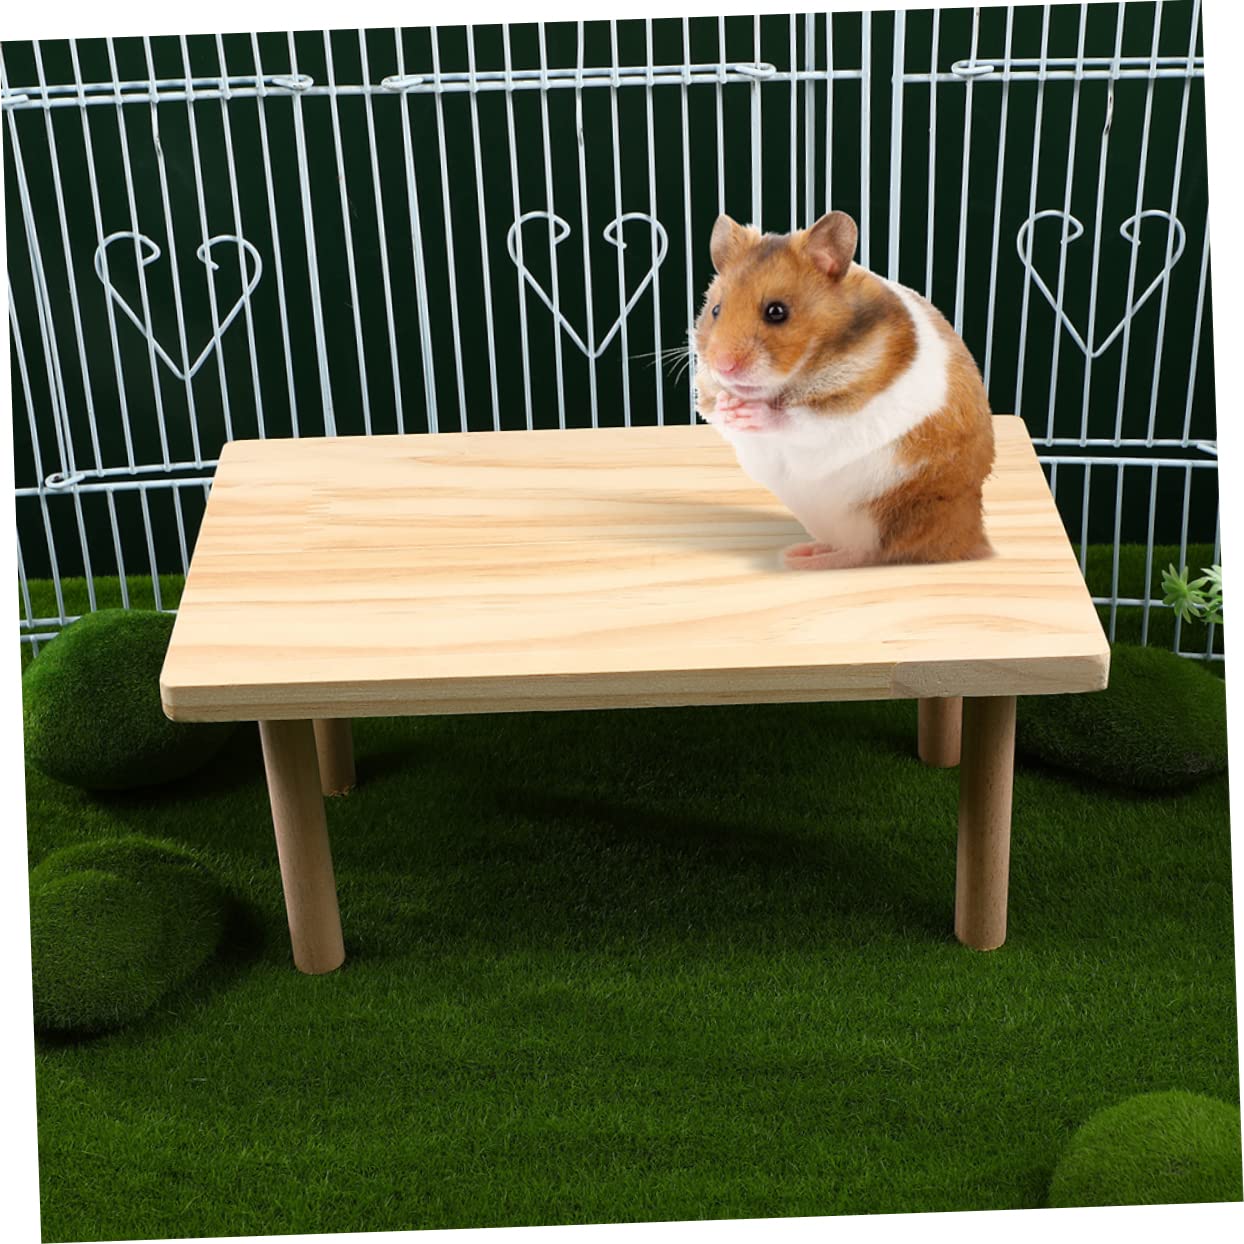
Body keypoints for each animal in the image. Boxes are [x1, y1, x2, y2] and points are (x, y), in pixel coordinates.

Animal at [693, 210, 995, 571]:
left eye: (777, 311)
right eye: (715, 310)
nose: (722, 365)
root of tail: (973, 538)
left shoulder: (843, 412)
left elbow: (797, 419)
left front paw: (751, 411)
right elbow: (719, 414)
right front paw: (728, 405)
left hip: (883, 515)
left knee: (869, 552)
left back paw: (801, 561)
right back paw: (804, 551)